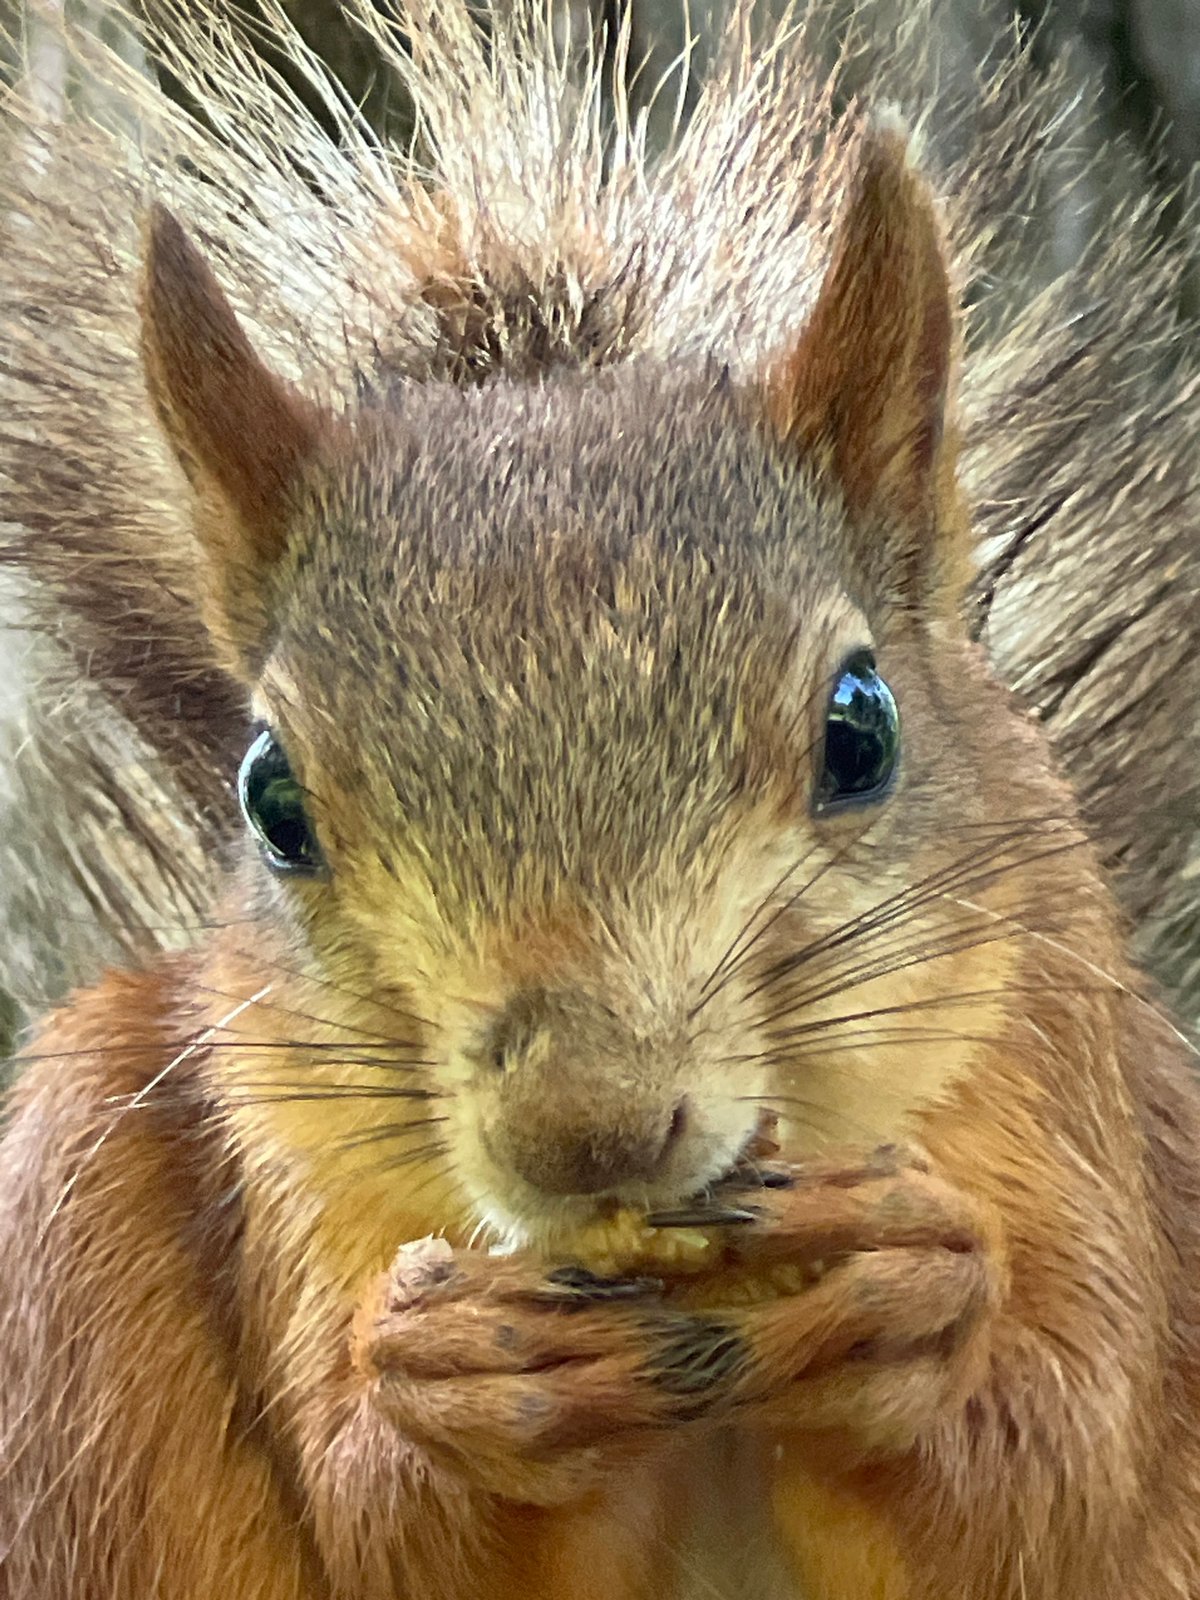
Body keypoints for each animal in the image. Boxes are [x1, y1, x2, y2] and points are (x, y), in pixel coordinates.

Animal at [2, 2, 1200, 1598]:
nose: (586, 1135)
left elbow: (1047, 1475)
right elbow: (386, 1525)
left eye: (861, 728)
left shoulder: (1060, 1075)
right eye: (271, 801)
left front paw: (908, 1312)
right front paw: (453, 1387)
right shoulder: (292, 1167)